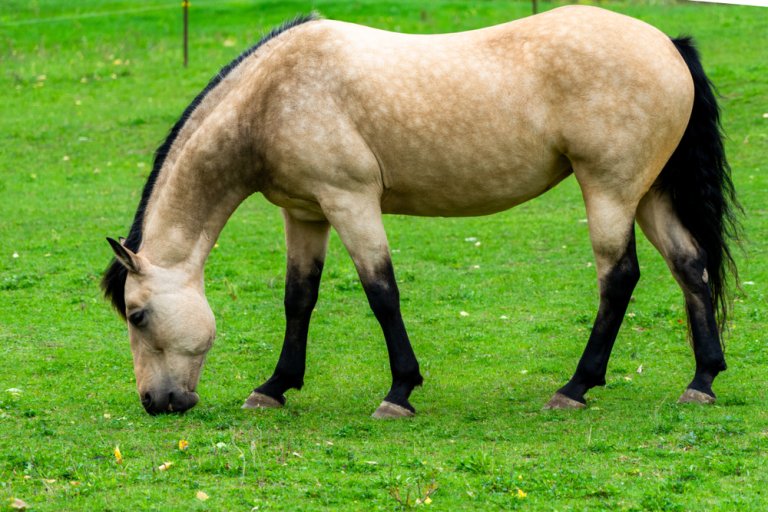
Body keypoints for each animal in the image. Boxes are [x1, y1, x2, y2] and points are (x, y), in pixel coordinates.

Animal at [102, 5, 740, 417]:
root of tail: (667, 43)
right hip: (648, 192)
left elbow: (381, 293)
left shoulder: (350, 200)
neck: (273, 97)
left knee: (620, 277)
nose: (156, 403)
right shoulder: (306, 214)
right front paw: (276, 386)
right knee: (690, 266)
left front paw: (400, 391)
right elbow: (299, 299)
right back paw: (702, 379)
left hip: (609, 190)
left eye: (137, 314)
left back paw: (576, 386)